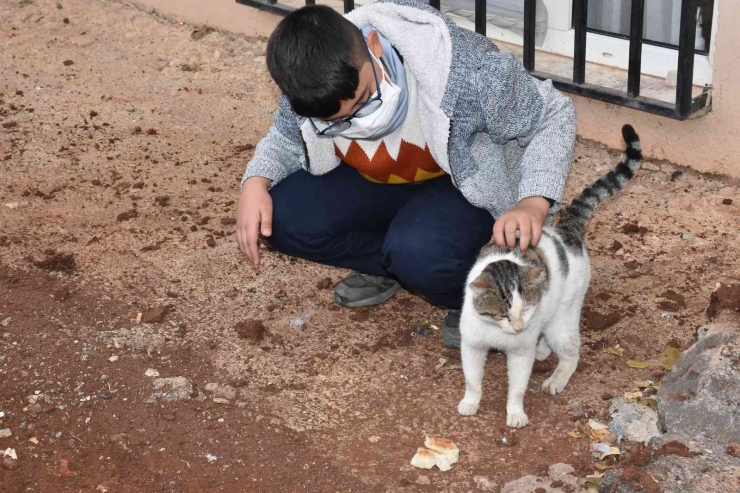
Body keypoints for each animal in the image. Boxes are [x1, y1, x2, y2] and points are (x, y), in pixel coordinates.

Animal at [454, 124, 640, 426]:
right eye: (504, 314)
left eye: (527, 309)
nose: (520, 328)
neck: (497, 332)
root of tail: (567, 229)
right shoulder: (471, 345)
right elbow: (472, 379)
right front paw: (470, 402)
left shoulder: (521, 352)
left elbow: (518, 386)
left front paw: (516, 413)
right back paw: (542, 350)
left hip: (563, 319)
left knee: (571, 353)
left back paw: (556, 378)